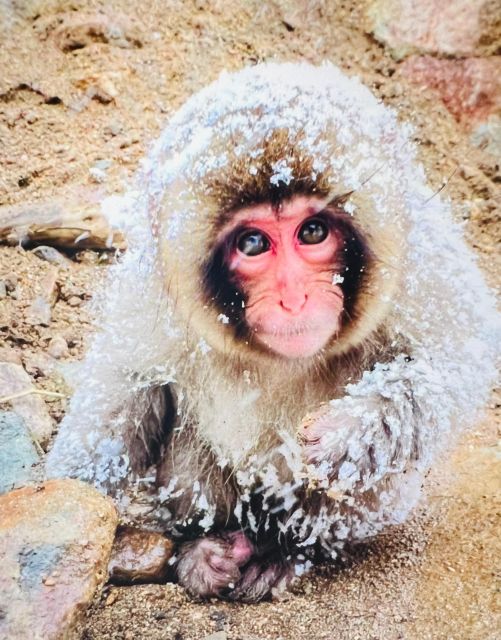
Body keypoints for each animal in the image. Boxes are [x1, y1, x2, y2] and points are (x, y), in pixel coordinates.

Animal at [45, 63, 499, 602]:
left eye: (312, 233)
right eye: (253, 243)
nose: (293, 298)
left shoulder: (420, 264)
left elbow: (456, 362)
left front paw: (349, 431)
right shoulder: (155, 294)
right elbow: (126, 387)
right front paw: (72, 505)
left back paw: (285, 553)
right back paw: (209, 550)